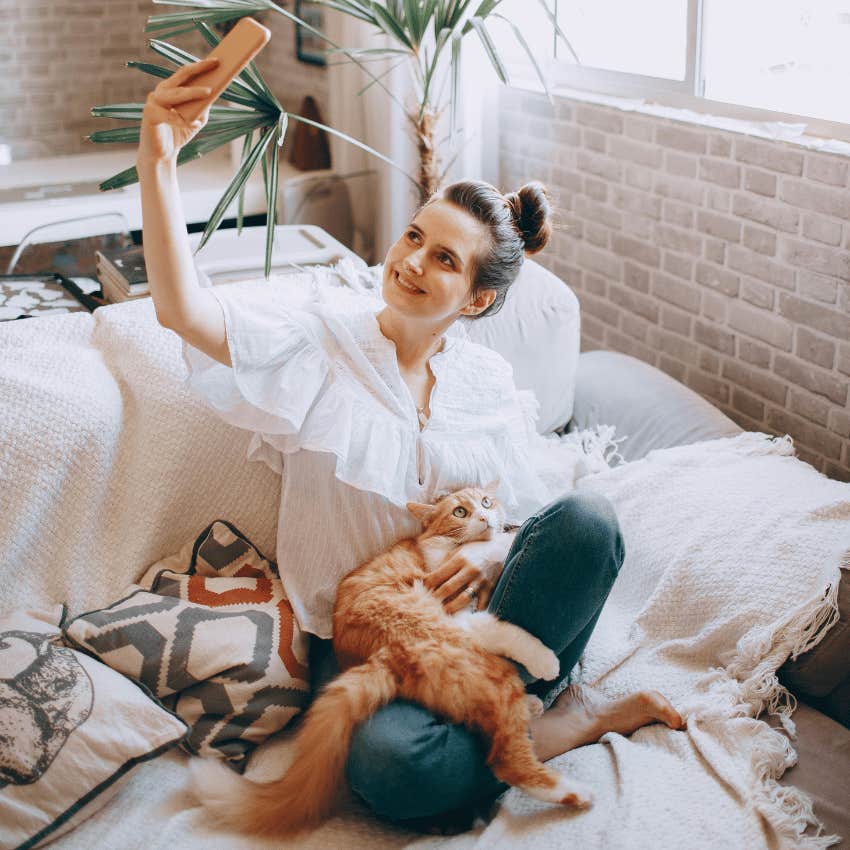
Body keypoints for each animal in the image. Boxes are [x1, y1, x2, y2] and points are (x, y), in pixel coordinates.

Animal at [191, 484, 588, 836]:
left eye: (487, 501)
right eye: (460, 511)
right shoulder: (453, 603)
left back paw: (534, 706)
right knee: (507, 759)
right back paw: (573, 789)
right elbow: (501, 625)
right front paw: (544, 660)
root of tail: (385, 653)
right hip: (450, 637)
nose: (485, 516)